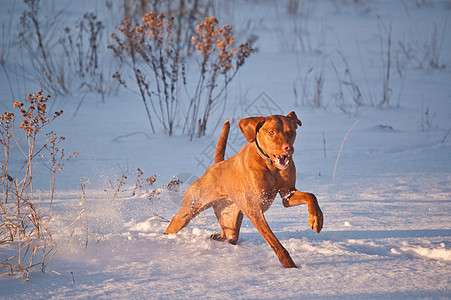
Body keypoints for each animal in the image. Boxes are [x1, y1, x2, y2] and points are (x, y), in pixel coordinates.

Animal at [166, 111, 324, 268]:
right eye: (271, 132)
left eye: (291, 132)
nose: (288, 148)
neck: (270, 165)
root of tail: (216, 165)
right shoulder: (255, 209)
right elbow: (274, 242)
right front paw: (289, 265)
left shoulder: (287, 194)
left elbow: (311, 196)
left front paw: (316, 219)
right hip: (188, 211)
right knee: (174, 223)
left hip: (230, 223)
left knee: (227, 237)